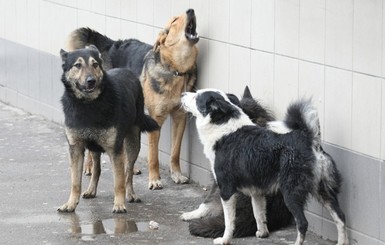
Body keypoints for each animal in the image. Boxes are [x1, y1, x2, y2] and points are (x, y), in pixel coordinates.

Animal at [57, 46, 159, 212]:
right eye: (77, 65)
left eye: (95, 64)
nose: (91, 81)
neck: (89, 104)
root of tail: (127, 71)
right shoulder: (76, 149)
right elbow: (75, 182)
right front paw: (70, 204)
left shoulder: (115, 150)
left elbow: (119, 181)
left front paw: (119, 204)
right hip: (94, 147)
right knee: (97, 169)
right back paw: (91, 190)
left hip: (132, 143)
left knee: (128, 171)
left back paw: (130, 194)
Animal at [66, 9, 198, 189]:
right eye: (175, 20)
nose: (191, 10)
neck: (175, 70)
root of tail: (111, 44)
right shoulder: (156, 119)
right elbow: (153, 155)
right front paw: (154, 179)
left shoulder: (180, 117)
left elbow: (175, 152)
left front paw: (176, 174)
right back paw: (89, 166)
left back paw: (130, 167)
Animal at [180, 89, 348, 245]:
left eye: (196, 97)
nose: (182, 94)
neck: (224, 128)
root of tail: (308, 139)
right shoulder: (257, 191)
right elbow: (259, 214)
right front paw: (262, 233)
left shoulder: (226, 190)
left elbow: (229, 221)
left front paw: (224, 240)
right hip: (324, 191)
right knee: (340, 217)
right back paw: (342, 242)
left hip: (291, 193)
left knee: (302, 223)